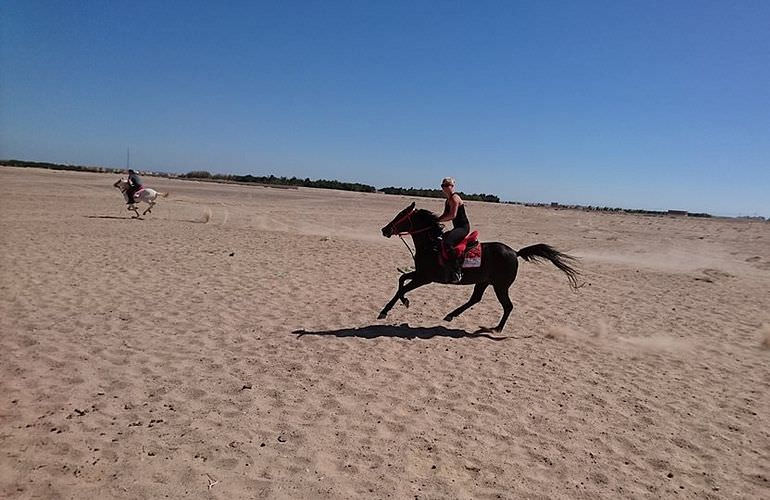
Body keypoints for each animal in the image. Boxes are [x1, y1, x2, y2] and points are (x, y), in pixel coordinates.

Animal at [378, 203, 584, 332]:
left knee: (507, 306)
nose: (384, 230)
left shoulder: (425, 278)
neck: (432, 245)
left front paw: (388, 309)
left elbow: (403, 287)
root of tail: (515, 252)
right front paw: (398, 304)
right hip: (484, 281)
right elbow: (401, 280)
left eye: (401, 216)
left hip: (500, 286)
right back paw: (451, 315)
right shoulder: (420, 274)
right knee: (475, 299)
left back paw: (497, 328)